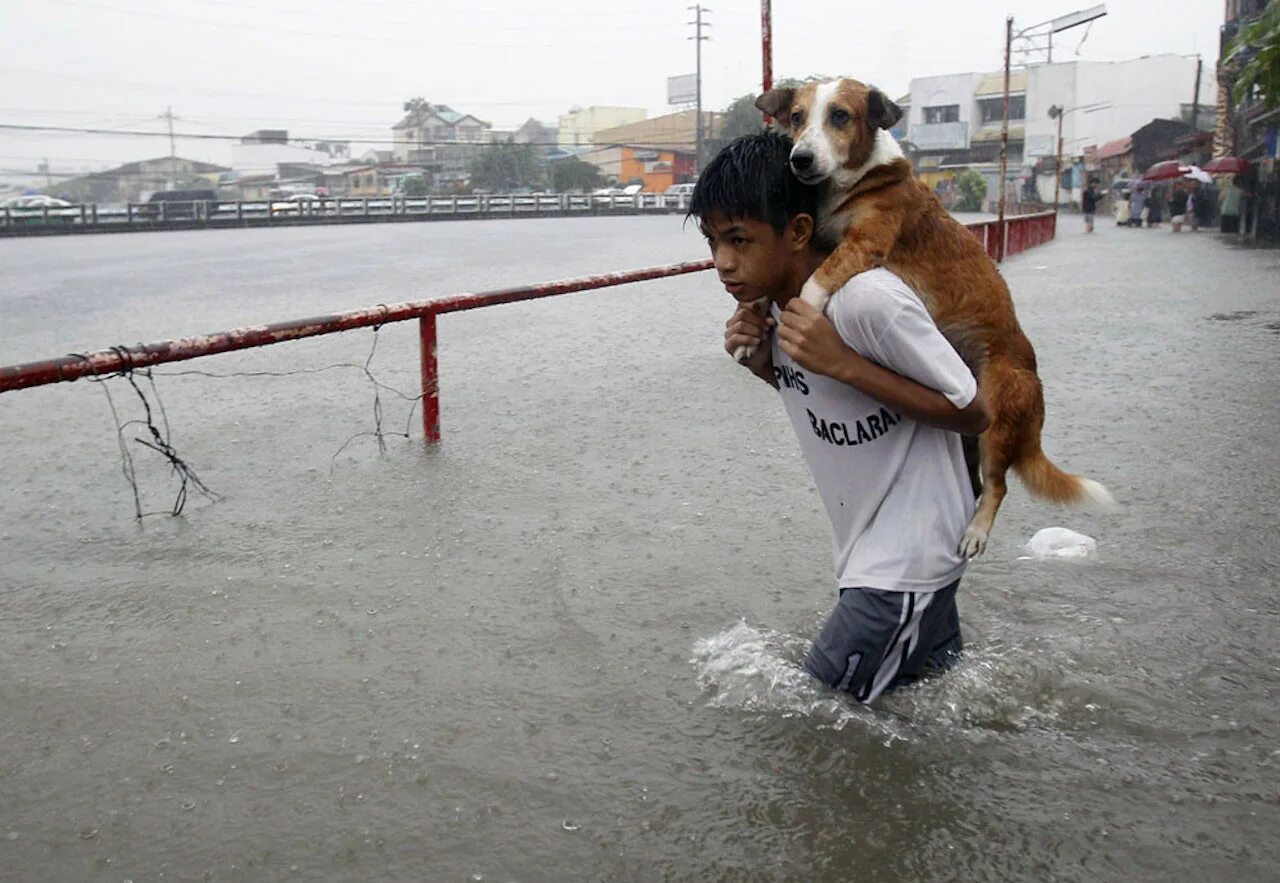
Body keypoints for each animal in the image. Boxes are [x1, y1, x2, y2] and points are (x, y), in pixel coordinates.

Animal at [747, 79, 1111, 552]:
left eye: (840, 116)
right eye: (796, 117)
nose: (800, 159)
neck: (855, 182)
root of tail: (1035, 384)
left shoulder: (863, 244)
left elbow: (813, 284)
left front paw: (801, 316)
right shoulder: (824, 240)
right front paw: (751, 320)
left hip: (995, 421)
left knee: (998, 486)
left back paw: (976, 532)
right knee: (979, 481)